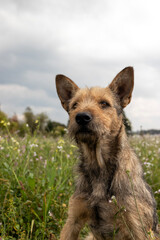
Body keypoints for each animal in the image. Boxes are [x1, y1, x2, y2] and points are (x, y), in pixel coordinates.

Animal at [55, 67, 159, 240]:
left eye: (104, 103)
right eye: (74, 105)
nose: (81, 117)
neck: (98, 165)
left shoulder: (138, 228)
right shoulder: (73, 219)